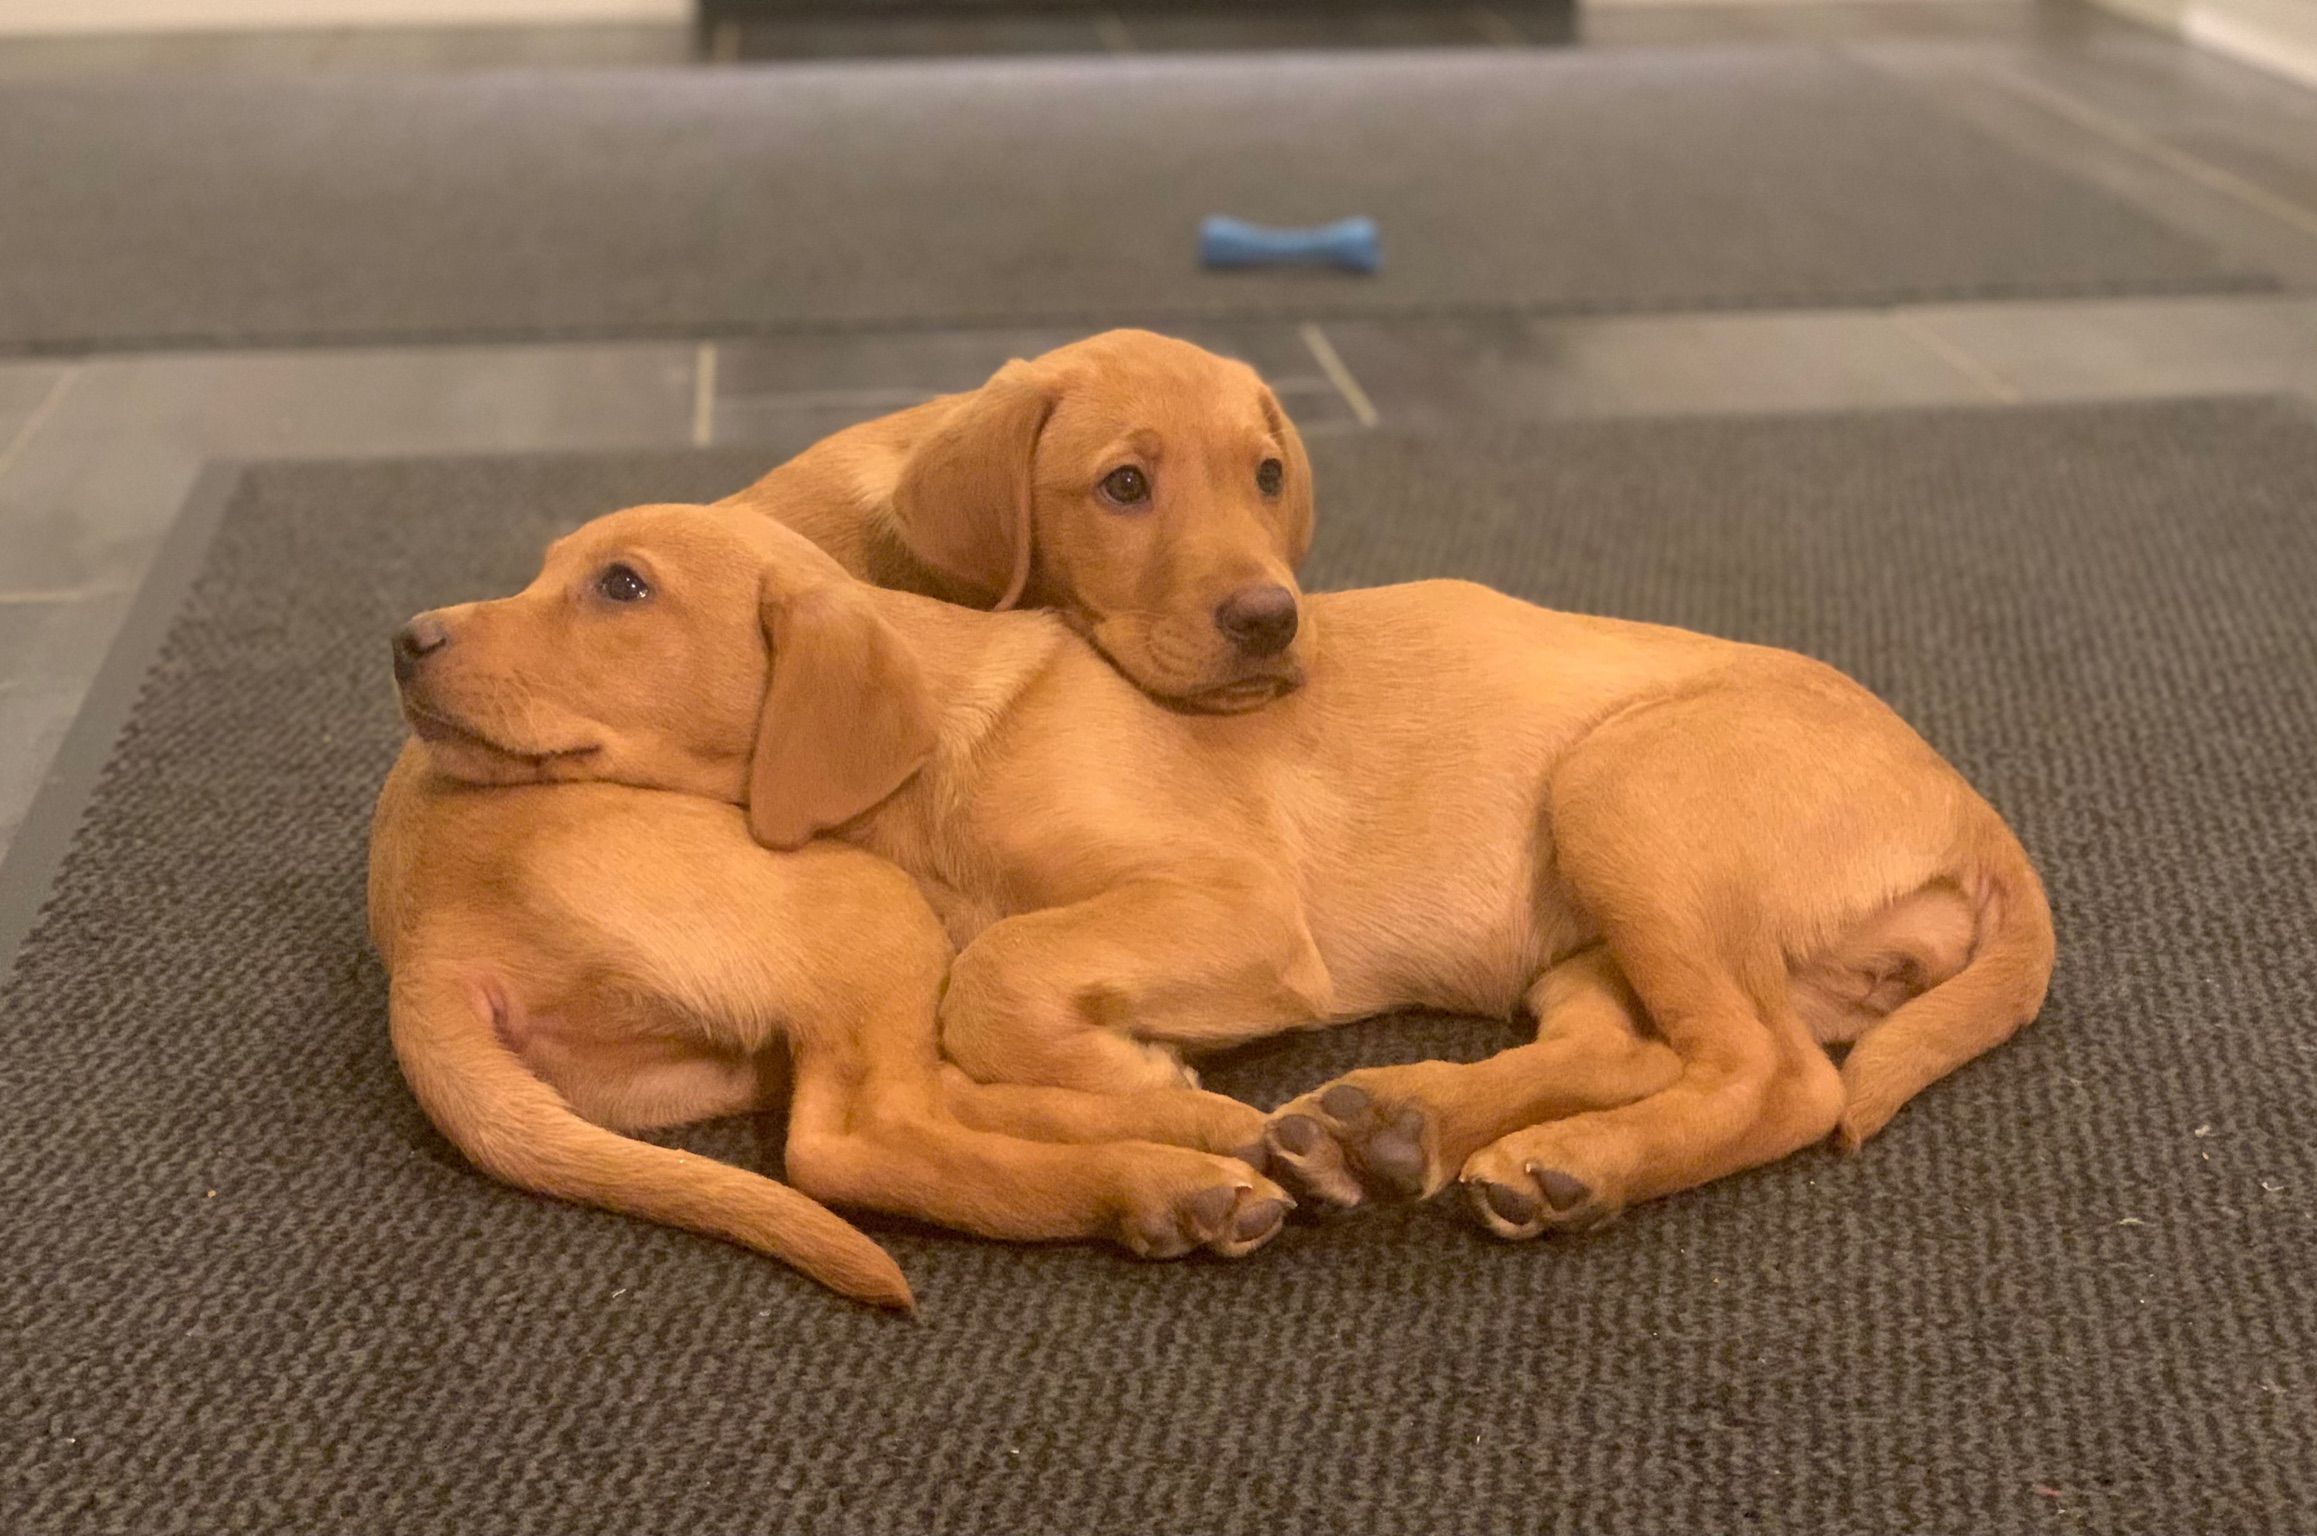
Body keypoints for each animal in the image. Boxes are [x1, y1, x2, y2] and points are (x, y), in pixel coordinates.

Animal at [394, 501, 2054, 1240]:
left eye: (620, 588)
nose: (403, 637)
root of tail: (1967, 807)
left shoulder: (1240, 914)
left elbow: (997, 974)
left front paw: (1127, 1073)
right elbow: (997, 988)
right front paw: (1142, 1079)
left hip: (1627, 790)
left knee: (1777, 1077)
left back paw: (1537, 1162)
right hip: (1592, 926)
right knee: (1638, 1045)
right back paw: (1397, 1125)